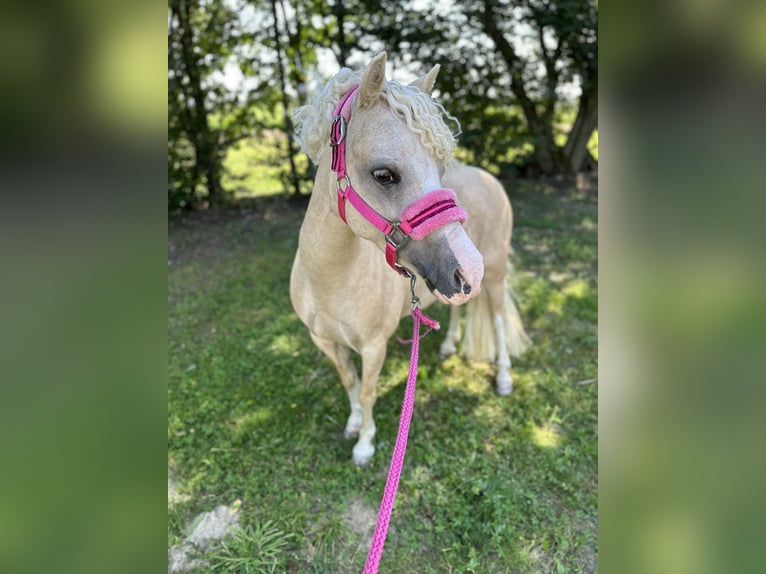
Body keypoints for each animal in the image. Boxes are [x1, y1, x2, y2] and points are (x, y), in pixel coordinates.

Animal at [292, 53, 532, 468]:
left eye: (440, 168)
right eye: (384, 174)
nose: (470, 266)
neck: (328, 281)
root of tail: (488, 177)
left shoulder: (374, 346)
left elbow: (368, 390)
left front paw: (364, 444)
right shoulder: (325, 341)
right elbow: (349, 382)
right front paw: (354, 423)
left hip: (496, 274)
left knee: (500, 321)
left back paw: (503, 377)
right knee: (459, 309)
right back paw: (450, 345)